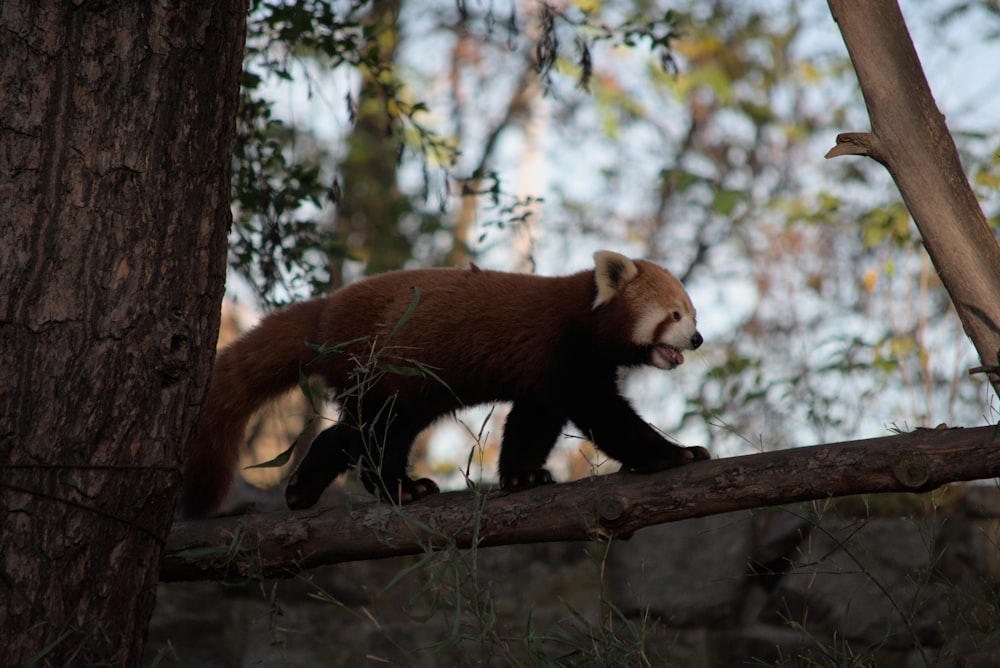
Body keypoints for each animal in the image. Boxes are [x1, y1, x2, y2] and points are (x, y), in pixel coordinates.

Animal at [182, 250, 712, 516]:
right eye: (675, 314)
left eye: (694, 313)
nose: (698, 338)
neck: (584, 316)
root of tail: (326, 314)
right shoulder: (562, 351)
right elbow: (606, 416)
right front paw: (673, 453)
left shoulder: (542, 375)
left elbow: (532, 422)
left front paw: (522, 477)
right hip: (385, 365)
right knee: (373, 434)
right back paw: (397, 488)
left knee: (360, 432)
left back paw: (306, 488)